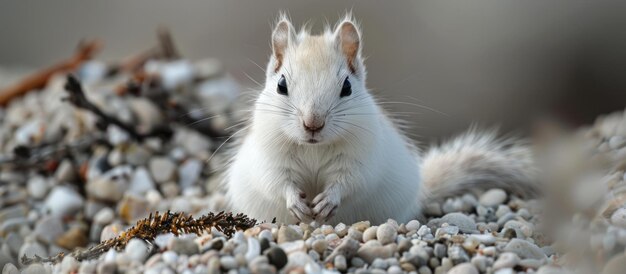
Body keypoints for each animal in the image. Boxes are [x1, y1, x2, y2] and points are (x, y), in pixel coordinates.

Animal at [222, 14, 532, 225]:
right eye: (281, 85)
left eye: (347, 87)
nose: (313, 125)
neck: (315, 148)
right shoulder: (269, 157)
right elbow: (276, 181)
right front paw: (296, 204)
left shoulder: (361, 160)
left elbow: (350, 182)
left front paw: (327, 201)